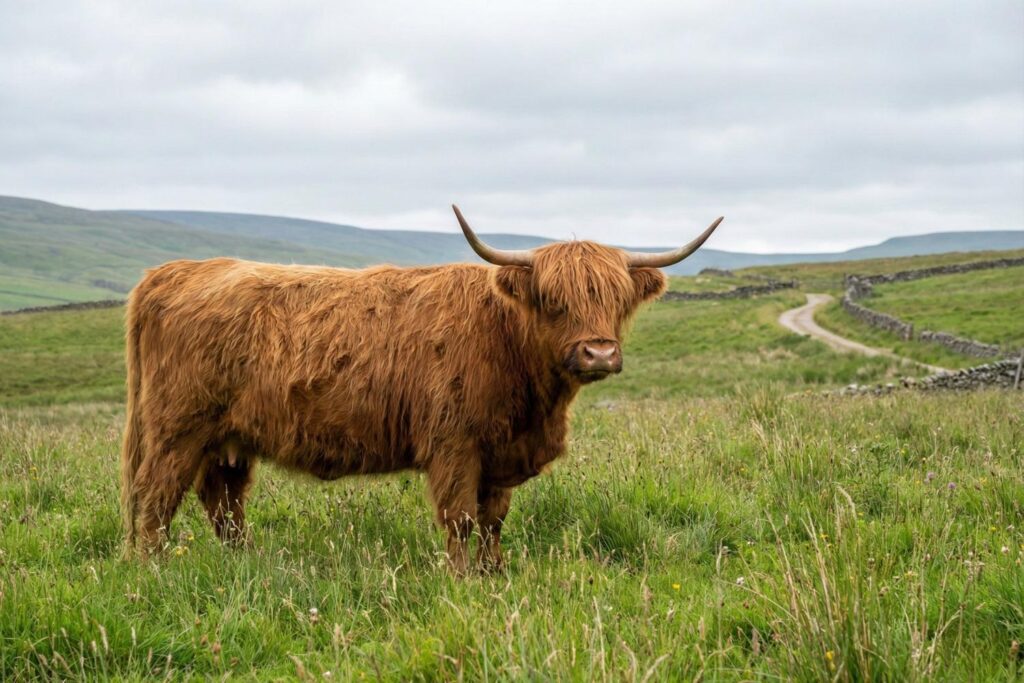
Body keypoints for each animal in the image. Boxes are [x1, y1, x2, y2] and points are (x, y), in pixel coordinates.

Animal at [120, 206, 722, 574]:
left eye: (617, 300)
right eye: (553, 300)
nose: (598, 352)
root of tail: (172, 271)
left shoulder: (498, 452)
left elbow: (493, 520)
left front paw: (494, 574)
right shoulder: (455, 444)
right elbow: (460, 518)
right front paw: (461, 582)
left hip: (228, 439)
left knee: (223, 503)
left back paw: (247, 563)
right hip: (178, 430)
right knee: (155, 497)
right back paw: (154, 570)